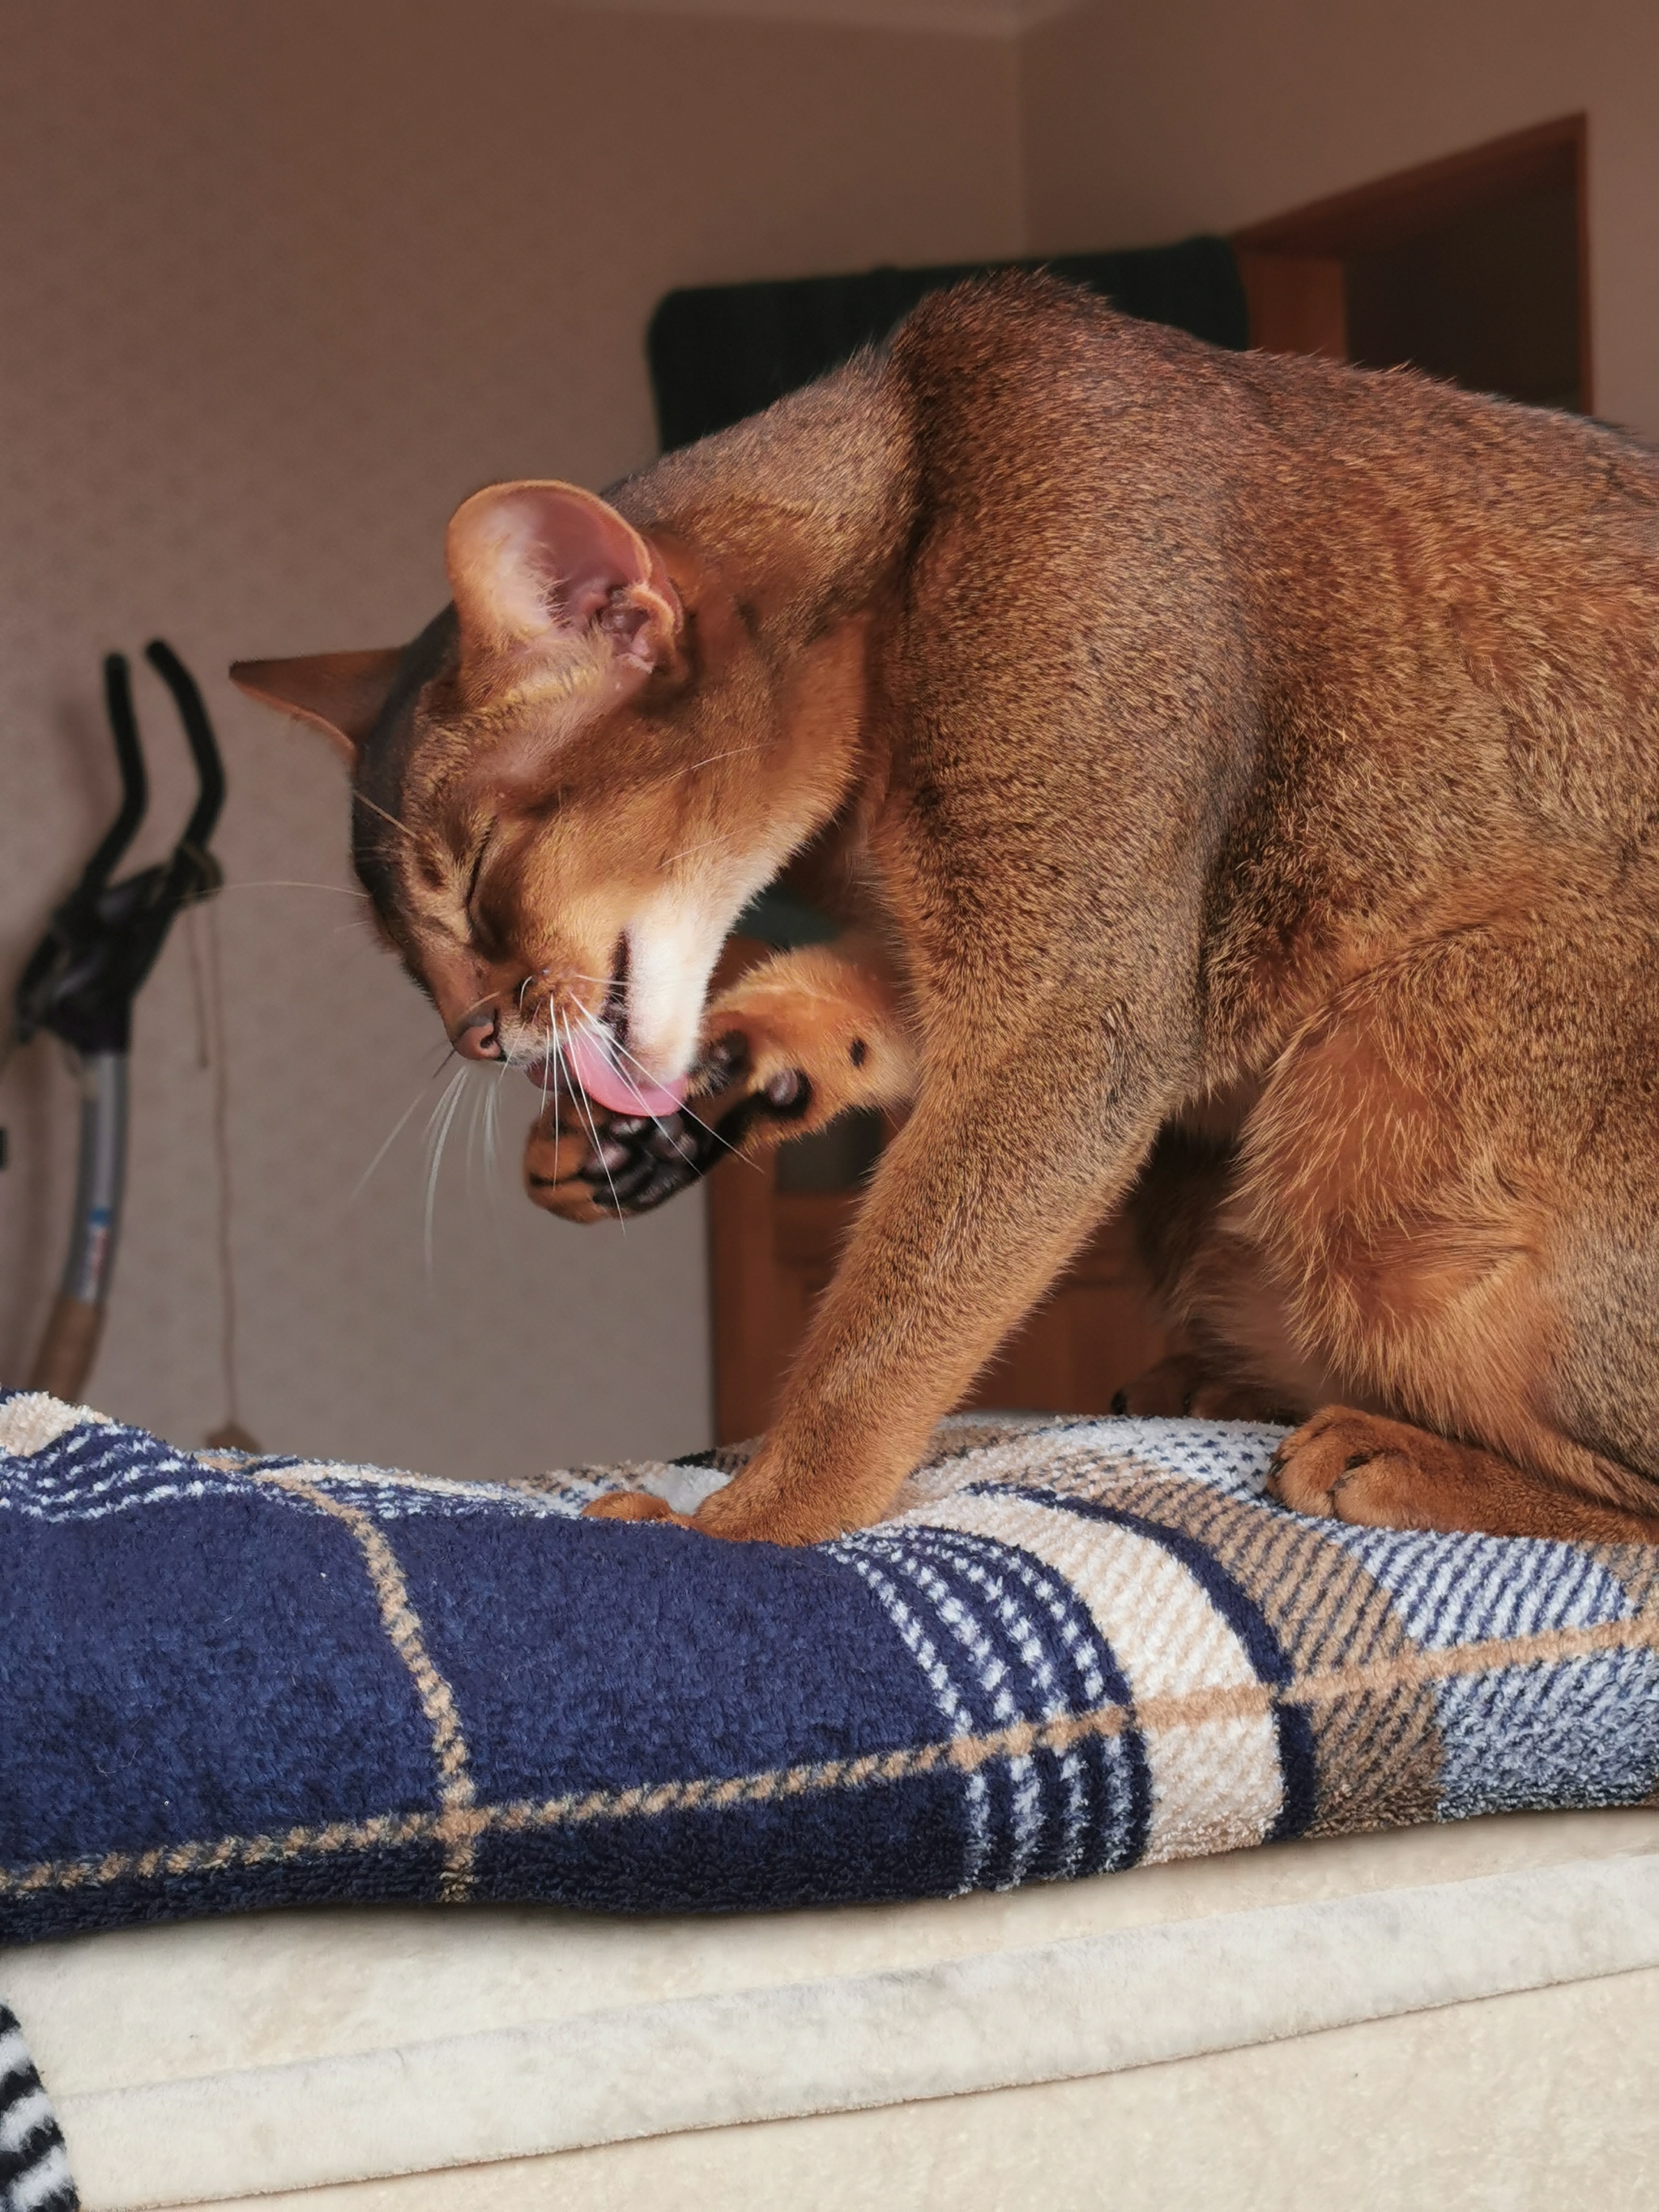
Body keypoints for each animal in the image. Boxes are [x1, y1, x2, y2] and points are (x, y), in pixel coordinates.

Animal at [231, 271, 1659, 1539]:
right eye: (403, 953)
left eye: (476, 881)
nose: (473, 1034)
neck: (918, 515)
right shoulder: (964, 945)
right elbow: (852, 1013)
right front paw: (695, 1089)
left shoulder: (1076, 1014)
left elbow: (885, 1331)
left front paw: (748, 1523)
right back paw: (1216, 1380)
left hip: (1370, 1115)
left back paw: (1387, 1450)